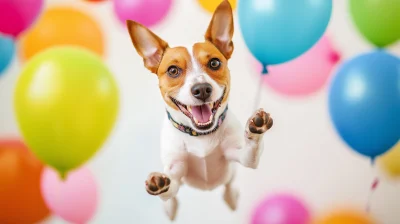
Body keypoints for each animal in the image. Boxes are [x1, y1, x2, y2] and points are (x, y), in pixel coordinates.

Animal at [126, 0, 274, 220]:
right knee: (171, 202)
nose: (202, 89)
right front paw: (159, 185)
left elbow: (251, 152)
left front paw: (256, 129)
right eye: (173, 70)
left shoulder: (241, 156)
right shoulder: (176, 171)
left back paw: (231, 197)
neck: (200, 135)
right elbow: (169, 187)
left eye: (214, 62)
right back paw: (170, 207)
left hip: (230, 175)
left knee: (229, 187)